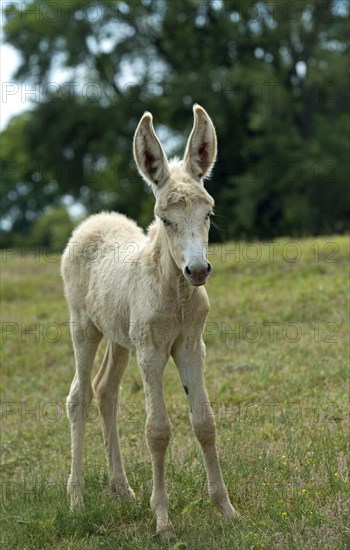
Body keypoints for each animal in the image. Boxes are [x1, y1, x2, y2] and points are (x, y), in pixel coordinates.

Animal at [62, 104, 238, 540]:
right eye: (165, 219)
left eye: (208, 213)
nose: (198, 270)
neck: (175, 294)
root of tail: (93, 221)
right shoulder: (151, 350)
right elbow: (157, 431)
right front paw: (163, 523)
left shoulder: (191, 345)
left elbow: (204, 422)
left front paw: (226, 510)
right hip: (84, 328)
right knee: (79, 397)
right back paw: (76, 499)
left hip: (119, 337)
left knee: (105, 390)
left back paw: (122, 490)